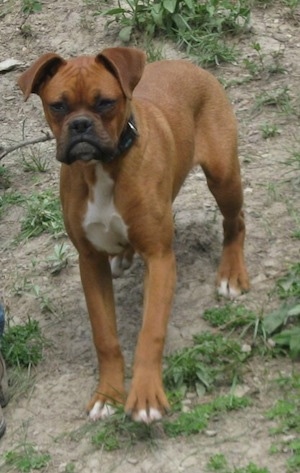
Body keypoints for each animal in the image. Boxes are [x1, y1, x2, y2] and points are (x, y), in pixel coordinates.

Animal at [17, 48, 250, 422]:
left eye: (105, 103)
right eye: (58, 106)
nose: (80, 125)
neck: (100, 168)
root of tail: (186, 63)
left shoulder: (159, 258)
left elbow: (150, 331)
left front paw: (145, 396)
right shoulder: (90, 263)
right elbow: (105, 336)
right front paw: (108, 394)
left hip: (223, 176)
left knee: (235, 221)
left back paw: (231, 273)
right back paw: (123, 255)